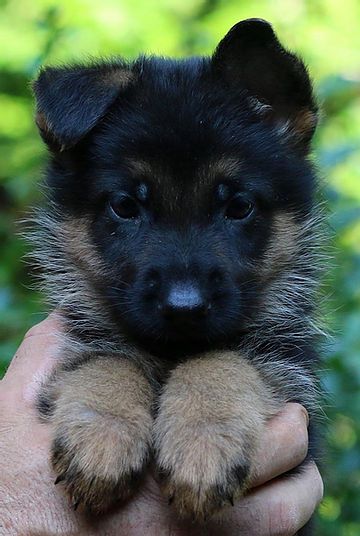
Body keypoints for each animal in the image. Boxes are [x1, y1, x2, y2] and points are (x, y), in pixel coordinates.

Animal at [32, 17, 322, 532]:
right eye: (125, 206)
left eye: (238, 206)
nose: (184, 308)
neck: (171, 353)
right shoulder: (85, 337)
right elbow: (108, 359)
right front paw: (102, 435)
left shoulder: (291, 377)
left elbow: (222, 359)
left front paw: (202, 441)